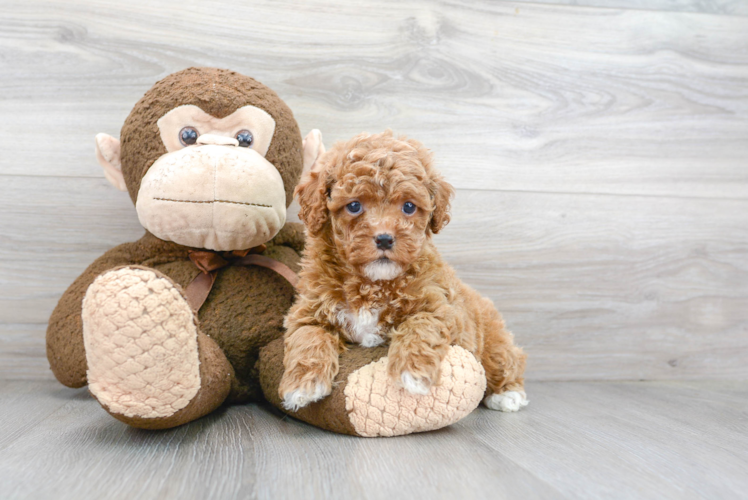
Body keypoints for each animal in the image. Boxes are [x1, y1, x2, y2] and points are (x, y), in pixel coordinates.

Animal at [278, 130, 528, 414]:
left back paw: (508, 394)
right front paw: (302, 386)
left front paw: (413, 372)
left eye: (408, 207)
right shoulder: (309, 310)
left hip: (493, 339)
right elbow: (309, 336)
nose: (385, 239)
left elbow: (419, 326)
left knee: (506, 359)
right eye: (354, 206)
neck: (372, 282)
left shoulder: (440, 308)